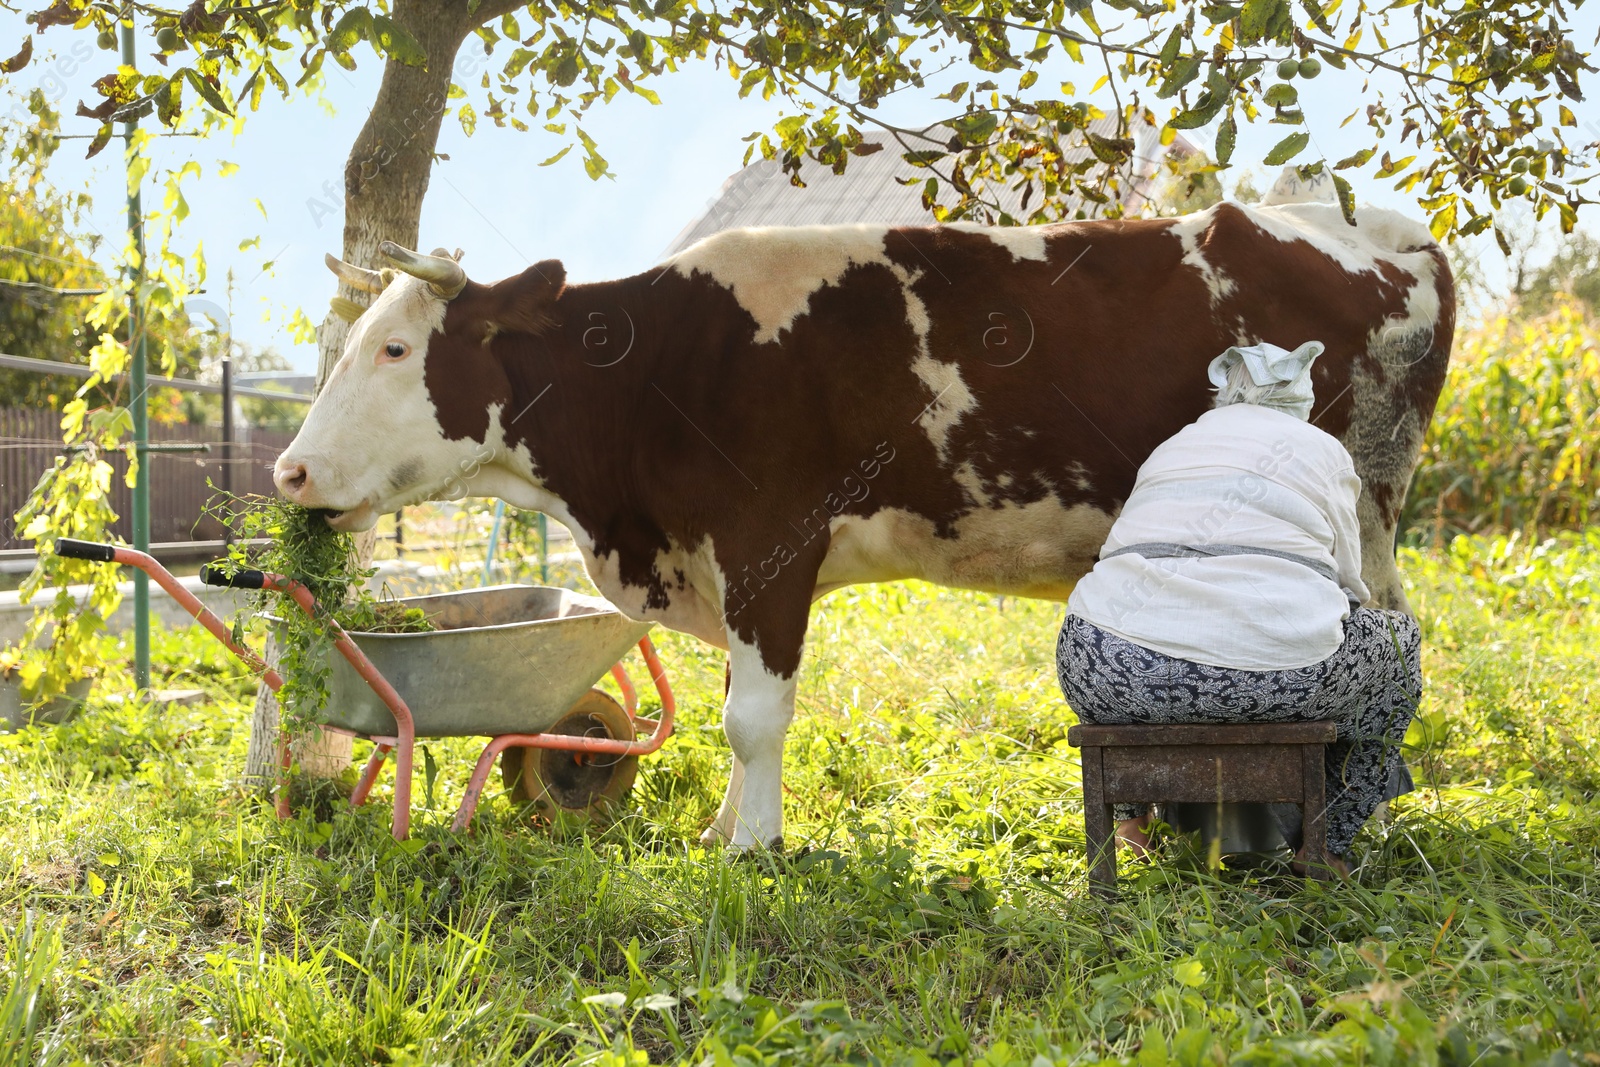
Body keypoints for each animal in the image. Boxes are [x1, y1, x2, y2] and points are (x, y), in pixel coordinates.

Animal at [278, 191, 1465, 857]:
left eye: (394, 348)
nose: (290, 470)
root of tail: (1386, 222)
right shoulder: (730, 565)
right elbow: (734, 705)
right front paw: (723, 826)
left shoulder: (769, 545)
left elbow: (752, 715)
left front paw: (752, 851)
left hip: (1364, 514)